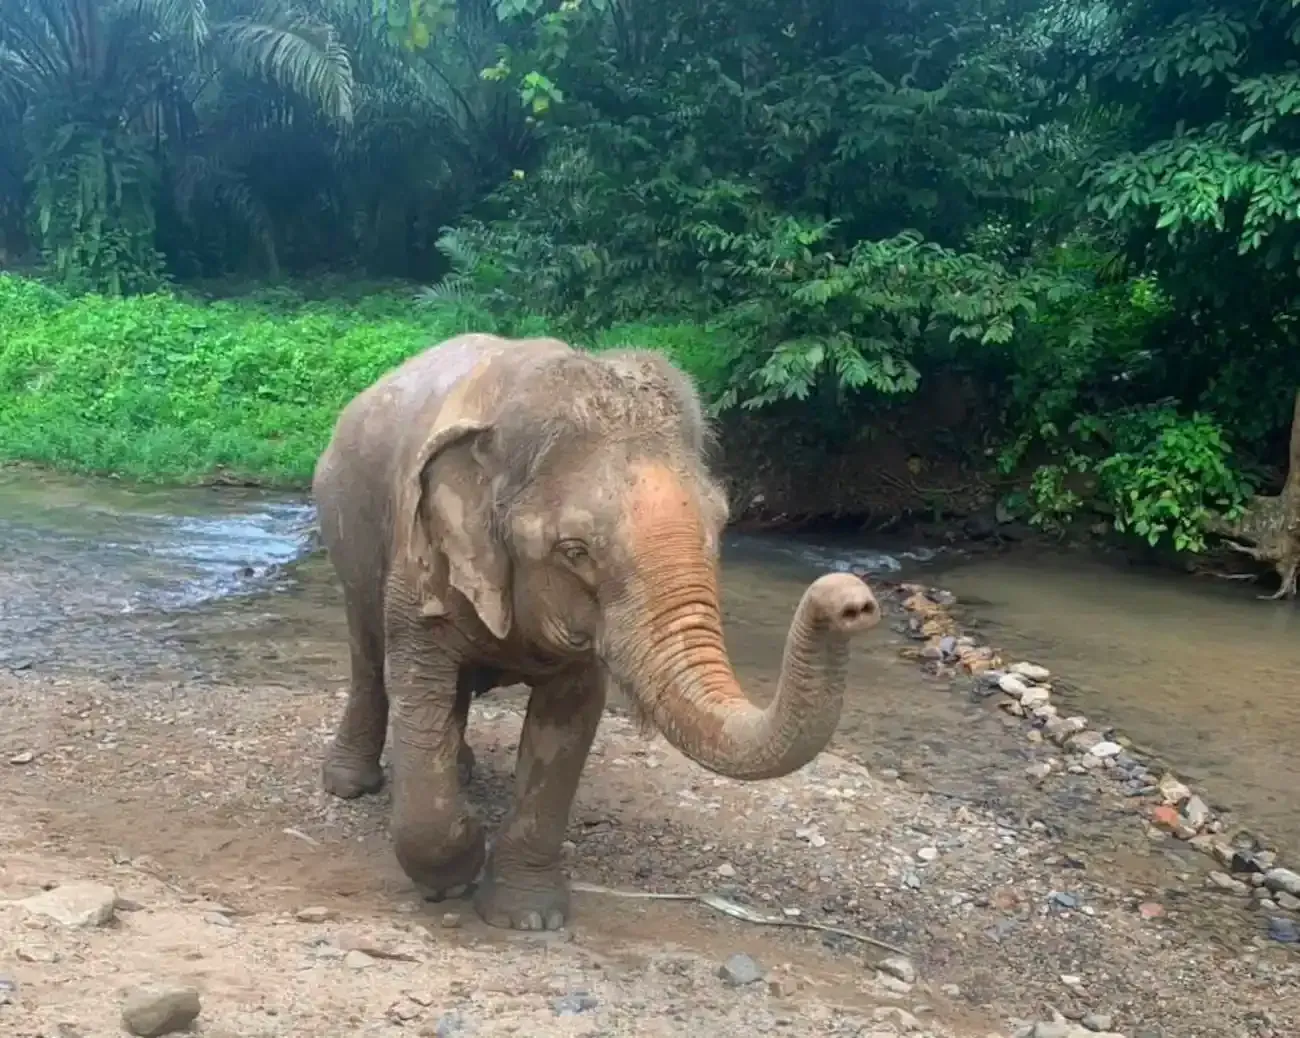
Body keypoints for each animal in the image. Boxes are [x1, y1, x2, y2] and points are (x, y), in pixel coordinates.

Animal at [311, 332, 881, 931]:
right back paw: (351, 785)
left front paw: (528, 918)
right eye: (574, 551)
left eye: (723, 525)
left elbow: (567, 724)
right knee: (369, 656)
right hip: (348, 532)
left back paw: (461, 771)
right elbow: (419, 687)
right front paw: (458, 869)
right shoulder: (420, 563)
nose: (853, 601)